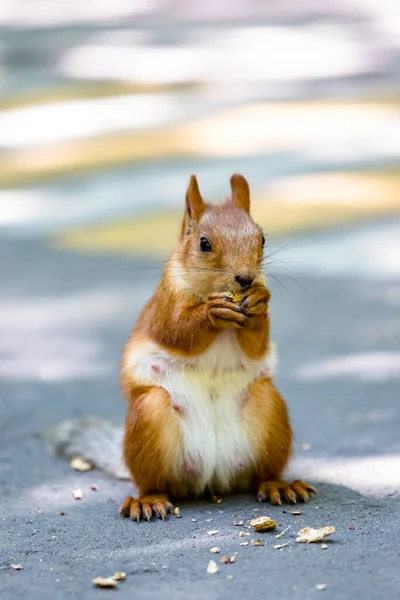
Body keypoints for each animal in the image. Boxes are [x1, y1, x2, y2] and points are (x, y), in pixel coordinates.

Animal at [118, 175, 316, 520]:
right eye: (204, 243)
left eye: (262, 239)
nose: (246, 278)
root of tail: (212, 476)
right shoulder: (165, 304)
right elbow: (178, 331)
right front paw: (212, 313)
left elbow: (256, 344)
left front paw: (259, 302)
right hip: (150, 416)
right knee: (153, 482)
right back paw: (148, 499)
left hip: (269, 409)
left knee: (263, 473)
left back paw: (278, 485)